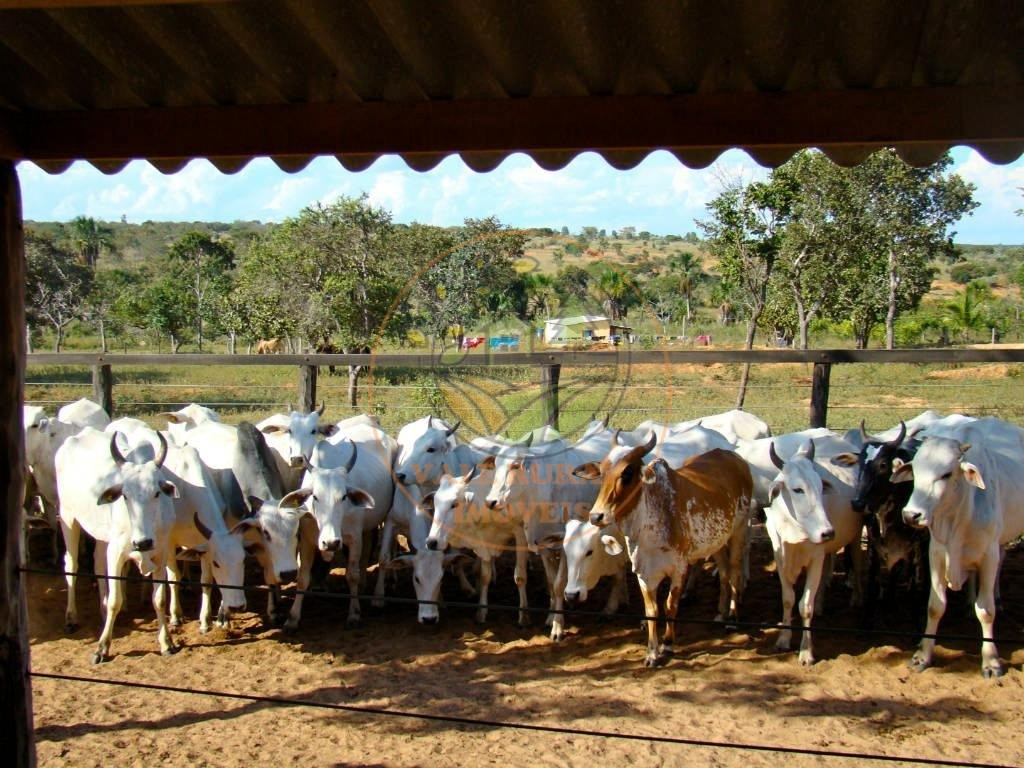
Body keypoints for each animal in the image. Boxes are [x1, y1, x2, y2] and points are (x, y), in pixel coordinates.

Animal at [55, 430, 179, 663]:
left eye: (156, 493)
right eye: (125, 496)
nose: (142, 542)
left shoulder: (160, 554)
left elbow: (159, 599)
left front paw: (166, 642)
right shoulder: (116, 554)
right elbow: (115, 600)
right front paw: (102, 648)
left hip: (101, 537)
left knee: (96, 564)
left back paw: (101, 610)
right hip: (68, 516)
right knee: (72, 565)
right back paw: (71, 617)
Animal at [577, 438, 753, 667]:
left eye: (627, 473)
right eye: (602, 472)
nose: (596, 516)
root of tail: (735, 458)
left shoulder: (679, 569)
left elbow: (670, 605)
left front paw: (668, 644)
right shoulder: (644, 572)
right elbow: (652, 611)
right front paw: (652, 653)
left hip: (739, 531)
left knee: (734, 573)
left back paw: (732, 617)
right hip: (717, 541)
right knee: (724, 573)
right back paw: (721, 614)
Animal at [765, 438, 860, 667]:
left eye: (820, 487)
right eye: (797, 489)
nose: (828, 532)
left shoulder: (815, 559)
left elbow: (804, 606)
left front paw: (806, 651)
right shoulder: (780, 558)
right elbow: (788, 599)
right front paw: (783, 639)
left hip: (855, 538)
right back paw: (820, 604)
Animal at [892, 417, 1024, 675]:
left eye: (946, 474)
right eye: (915, 471)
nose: (911, 515)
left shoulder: (988, 554)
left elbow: (986, 611)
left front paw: (991, 660)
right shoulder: (936, 552)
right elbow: (935, 606)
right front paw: (923, 655)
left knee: (1000, 563)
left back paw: (996, 597)